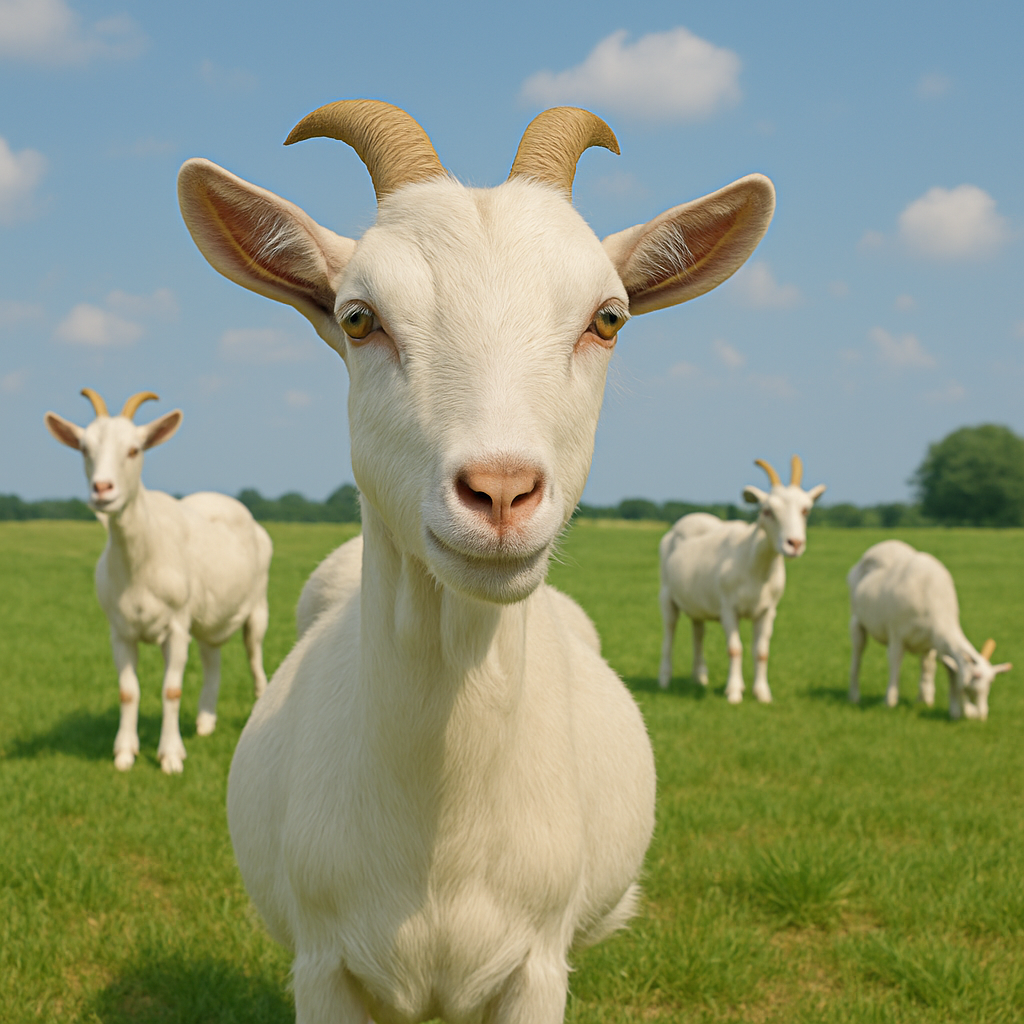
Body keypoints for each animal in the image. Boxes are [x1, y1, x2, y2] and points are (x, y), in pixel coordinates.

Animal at [44, 389, 273, 773]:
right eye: (84, 449)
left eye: (135, 450)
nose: (102, 489)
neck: (141, 563)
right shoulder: (120, 630)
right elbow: (127, 691)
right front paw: (124, 752)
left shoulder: (177, 625)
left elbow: (171, 690)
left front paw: (170, 755)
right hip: (210, 613)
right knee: (212, 657)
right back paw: (205, 721)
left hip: (258, 605)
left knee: (255, 656)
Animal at [659, 456, 825, 703]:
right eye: (767, 510)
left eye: (805, 510)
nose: (794, 544)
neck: (754, 567)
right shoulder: (728, 608)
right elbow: (735, 648)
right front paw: (734, 692)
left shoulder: (768, 610)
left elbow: (762, 652)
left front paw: (762, 693)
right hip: (667, 593)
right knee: (670, 630)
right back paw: (664, 679)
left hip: (696, 599)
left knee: (698, 631)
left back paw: (700, 677)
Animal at [848, 539, 1010, 719]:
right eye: (976, 676)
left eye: (991, 680)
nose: (981, 714)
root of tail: (882, 545)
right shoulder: (896, 634)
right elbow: (895, 664)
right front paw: (890, 701)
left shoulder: (931, 643)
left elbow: (929, 667)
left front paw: (926, 700)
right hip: (856, 619)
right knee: (858, 654)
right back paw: (854, 696)